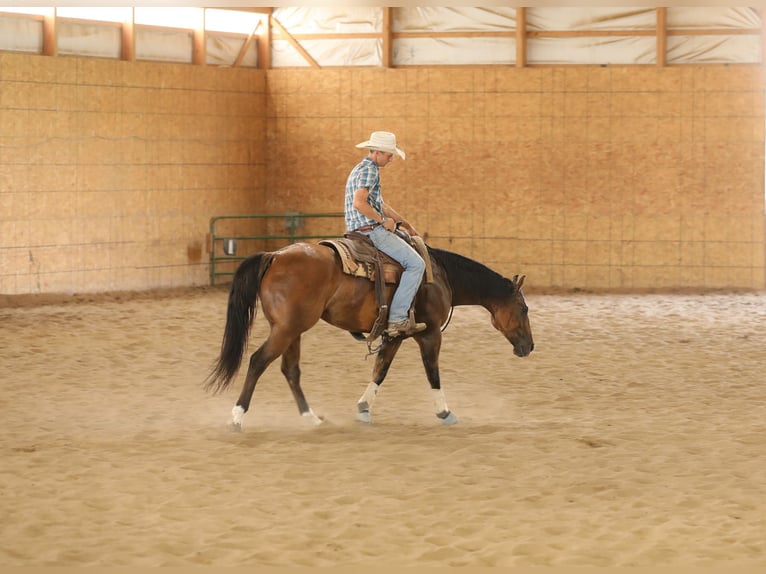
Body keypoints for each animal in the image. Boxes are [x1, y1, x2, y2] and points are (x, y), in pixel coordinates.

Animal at [204, 240, 534, 429]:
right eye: (524, 308)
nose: (529, 346)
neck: (439, 276)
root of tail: (275, 255)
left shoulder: (395, 335)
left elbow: (380, 370)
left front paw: (363, 409)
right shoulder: (429, 334)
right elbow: (433, 373)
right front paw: (445, 412)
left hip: (292, 329)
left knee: (290, 370)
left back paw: (311, 418)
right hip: (286, 330)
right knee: (258, 361)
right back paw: (237, 416)